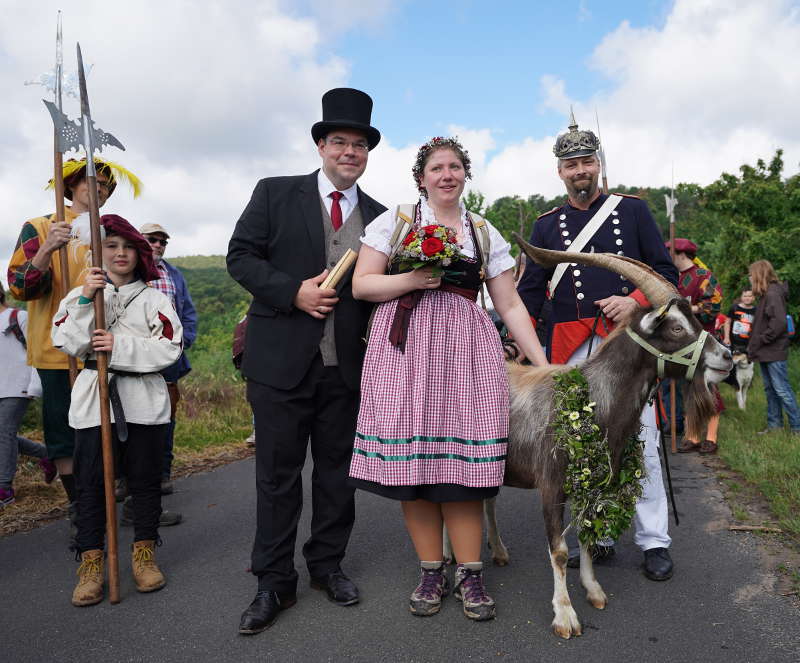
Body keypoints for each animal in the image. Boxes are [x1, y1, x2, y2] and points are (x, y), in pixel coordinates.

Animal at [484, 243, 736, 640]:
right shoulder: (551, 483)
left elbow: (588, 536)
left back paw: (497, 551)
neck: (591, 399)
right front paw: (565, 615)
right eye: (677, 327)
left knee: (485, 502)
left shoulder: (597, 483)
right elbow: (558, 550)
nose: (727, 358)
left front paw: (594, 590)